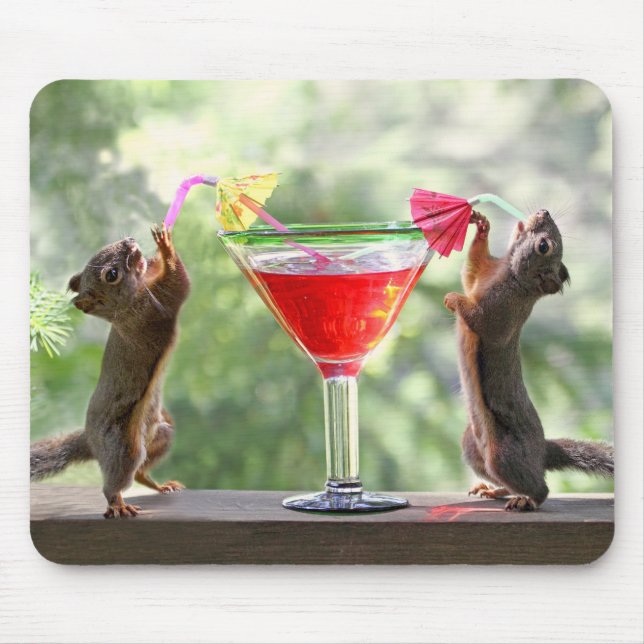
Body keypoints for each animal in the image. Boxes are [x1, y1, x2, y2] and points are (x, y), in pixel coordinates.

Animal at [30, 224, 190, 518]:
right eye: (112, 275)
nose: (129, 241)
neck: (124, 307)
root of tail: (91, 441)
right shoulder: (151, 311)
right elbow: (178, 284)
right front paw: (165, 247)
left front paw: (154, 256)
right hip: (124, 448)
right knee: (116, 482)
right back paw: (117, 504)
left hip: (160, 433)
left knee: (139, 473)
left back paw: (161, 485)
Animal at [444, 209, 613, 511]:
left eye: (543, 246)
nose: (543, 212)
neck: (509, 275)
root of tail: (541, 451)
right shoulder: (481, 275)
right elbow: (470, 271)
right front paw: (482, 226)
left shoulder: (501, 313)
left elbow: (479, 319)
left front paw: (454, 299)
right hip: (472, 445)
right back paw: (492, 490)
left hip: (503, 455)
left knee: (540, 488)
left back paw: (526, 500)